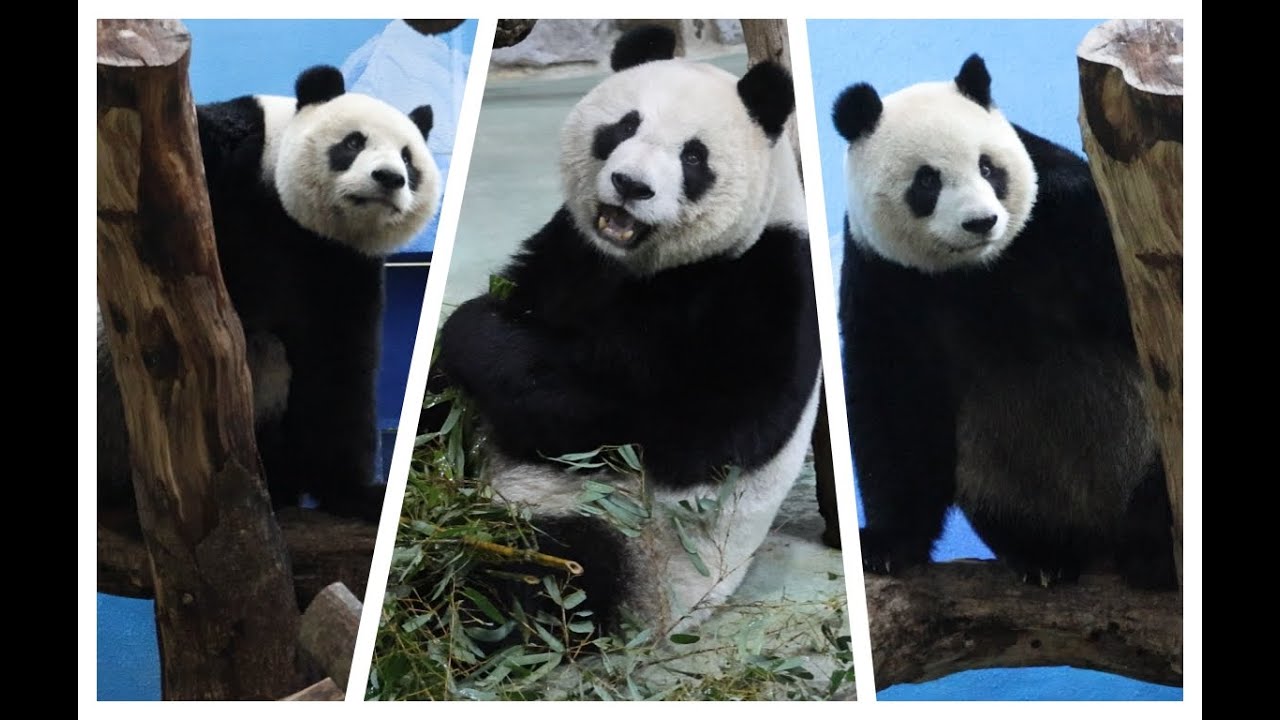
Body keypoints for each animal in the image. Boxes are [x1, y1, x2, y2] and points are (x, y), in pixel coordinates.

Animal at [98, 65, 441, 523]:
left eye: (408, 158)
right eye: (353, 142)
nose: (389, 178)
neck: (285, 212)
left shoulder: (342, 266)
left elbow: (338, 369)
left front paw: (357, 493)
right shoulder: (226, 157)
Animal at [428, 26, 823, 636]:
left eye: (693, 156)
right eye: (624, 126)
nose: (630, 185)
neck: (647, 265)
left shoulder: (764, 286)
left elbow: (659, 422)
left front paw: (469, 330)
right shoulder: (572, 251)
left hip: (622, 536)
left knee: (533, 579)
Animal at [833, 54, 1176, 589]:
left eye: (987, 167)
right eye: (927, 181)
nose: (980, 222)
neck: (980, 269)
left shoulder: (1068, 215)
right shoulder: (887, 276)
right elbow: (894, 401)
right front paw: (888, 544)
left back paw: (1151, 549)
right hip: (1004, 478)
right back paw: (1044, 556)